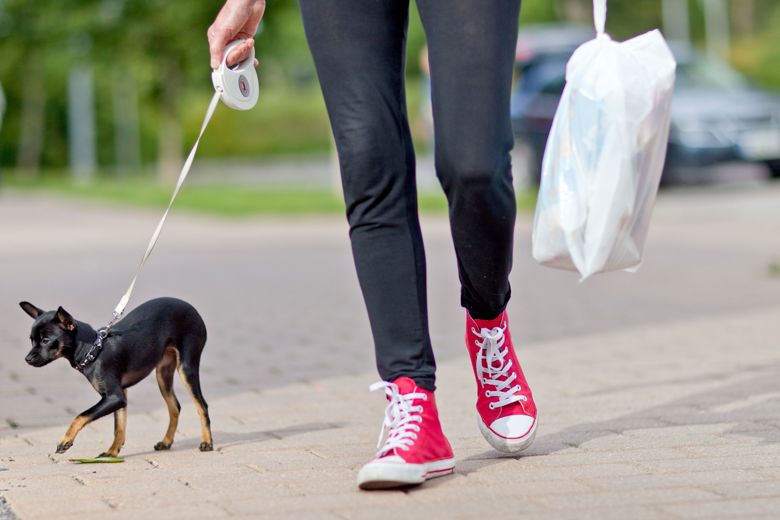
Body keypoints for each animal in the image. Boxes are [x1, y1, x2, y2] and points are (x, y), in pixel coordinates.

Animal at [20, 298, 213, 458]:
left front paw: (65, 440)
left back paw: (207, 442)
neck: (93, 350)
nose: (27, 359)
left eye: (45, 340)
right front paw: (112, 453)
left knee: (201, 405)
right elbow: (119, 427)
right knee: (175, 407)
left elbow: (81, 416)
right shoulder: (120, 397)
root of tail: (191, 308)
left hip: (186, 368)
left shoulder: (114, 397)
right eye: (31, 340)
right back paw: (166, 442)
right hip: (163, 374)